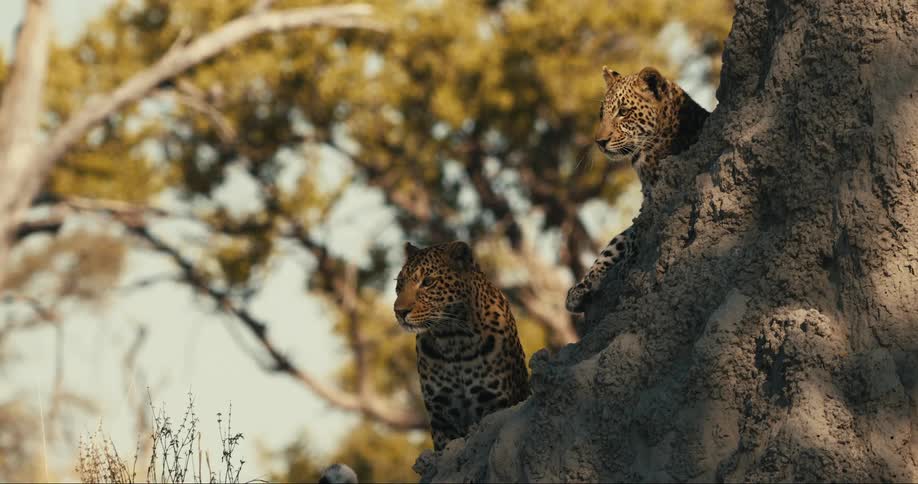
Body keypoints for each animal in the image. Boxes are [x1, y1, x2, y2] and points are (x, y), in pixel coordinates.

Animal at [394, 241, 529, 451]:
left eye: (427, 282)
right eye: (399, 284)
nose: (399, 311)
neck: (454, 340)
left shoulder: (495, 402)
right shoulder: (441, 415)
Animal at [566, 66, 710, 313]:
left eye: (623, 112)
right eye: (601, 114)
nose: (600, 141)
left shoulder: (654, 204)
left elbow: (630, 237)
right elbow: (613, 243)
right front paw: (579, 288)